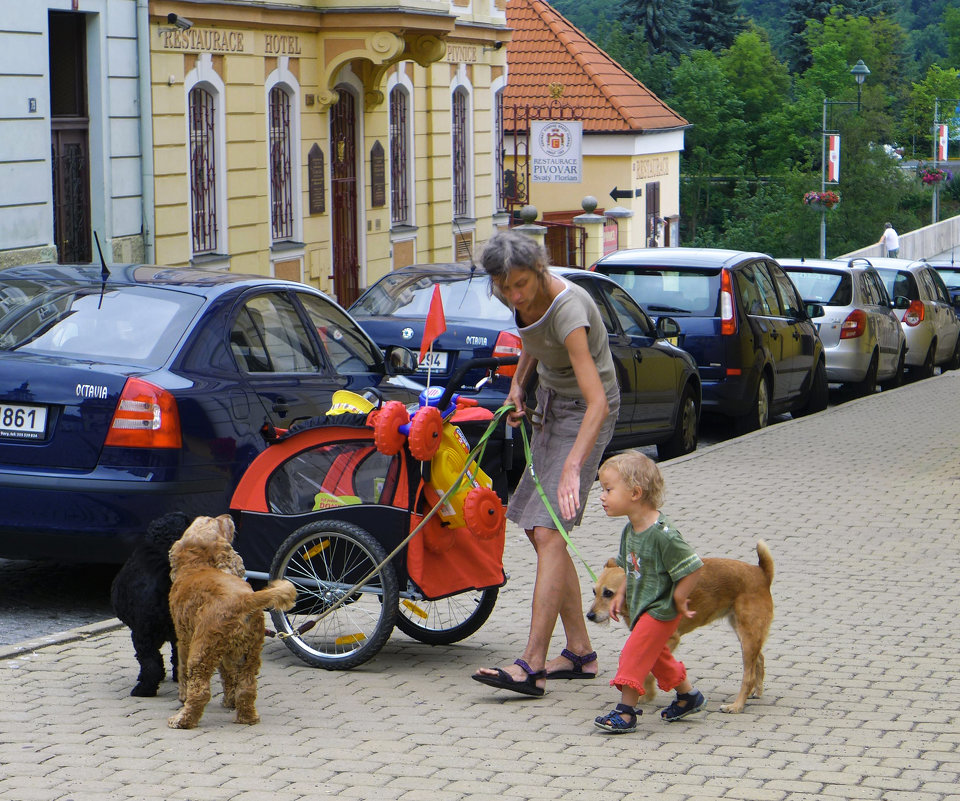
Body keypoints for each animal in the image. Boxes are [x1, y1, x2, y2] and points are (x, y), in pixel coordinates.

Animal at [167, 516, 296, 728]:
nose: (227, 516)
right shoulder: (227, 654)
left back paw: (182, 720)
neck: (197, 565)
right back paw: (247, 717)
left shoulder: (184, 639)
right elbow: (228, 677)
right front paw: (230, 701)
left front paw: (182, 697)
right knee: (247, 687)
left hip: (202, 650)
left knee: (200, 691)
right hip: (249, 652)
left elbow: (182, 671)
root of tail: (243, 600)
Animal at [584, 540, 772, 708]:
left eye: (608, 593)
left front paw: (646, 694)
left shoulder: (668, 639)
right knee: (760, 659)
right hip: (745, 634)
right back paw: (757, 692)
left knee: (748, 677)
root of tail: (761, 573)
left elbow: (650, 670)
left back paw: (737, 706)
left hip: (748, 636)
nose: (590, 616)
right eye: (594, 592)